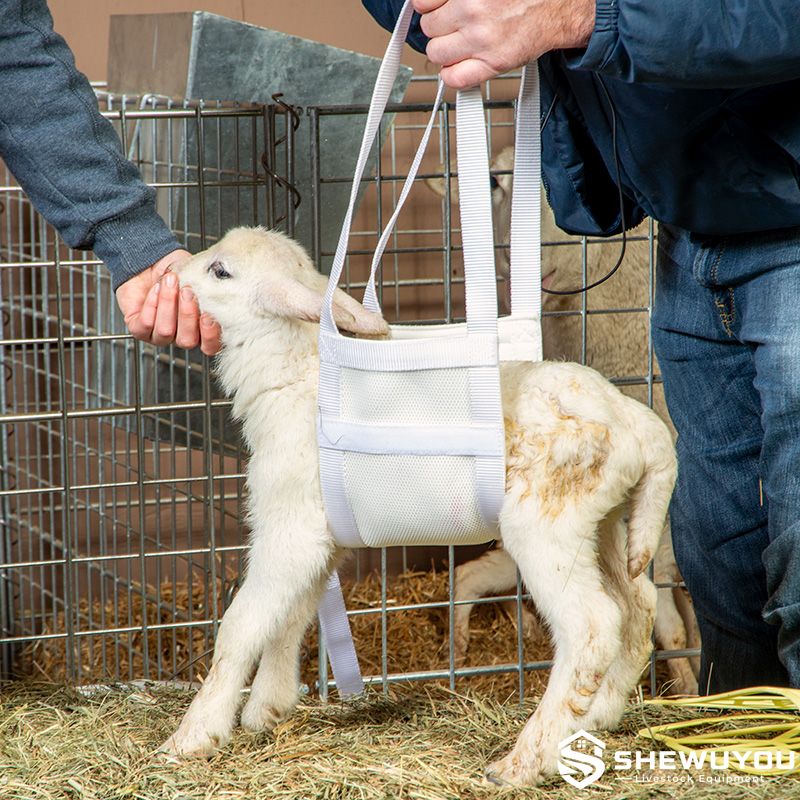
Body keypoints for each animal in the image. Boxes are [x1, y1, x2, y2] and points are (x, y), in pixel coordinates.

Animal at [159, 226, 677, 786]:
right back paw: (597, 716)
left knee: (592, 627)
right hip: (604, 523)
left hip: (548, 525)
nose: (174, 273)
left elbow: (242, 625)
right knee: (639, 606)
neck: (296, 374)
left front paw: (195, 735)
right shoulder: (323, 539)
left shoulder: (290, 529)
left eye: (220, 271)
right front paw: (267, 710)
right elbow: (292, 615)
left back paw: (524, 761)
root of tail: (638, 426)